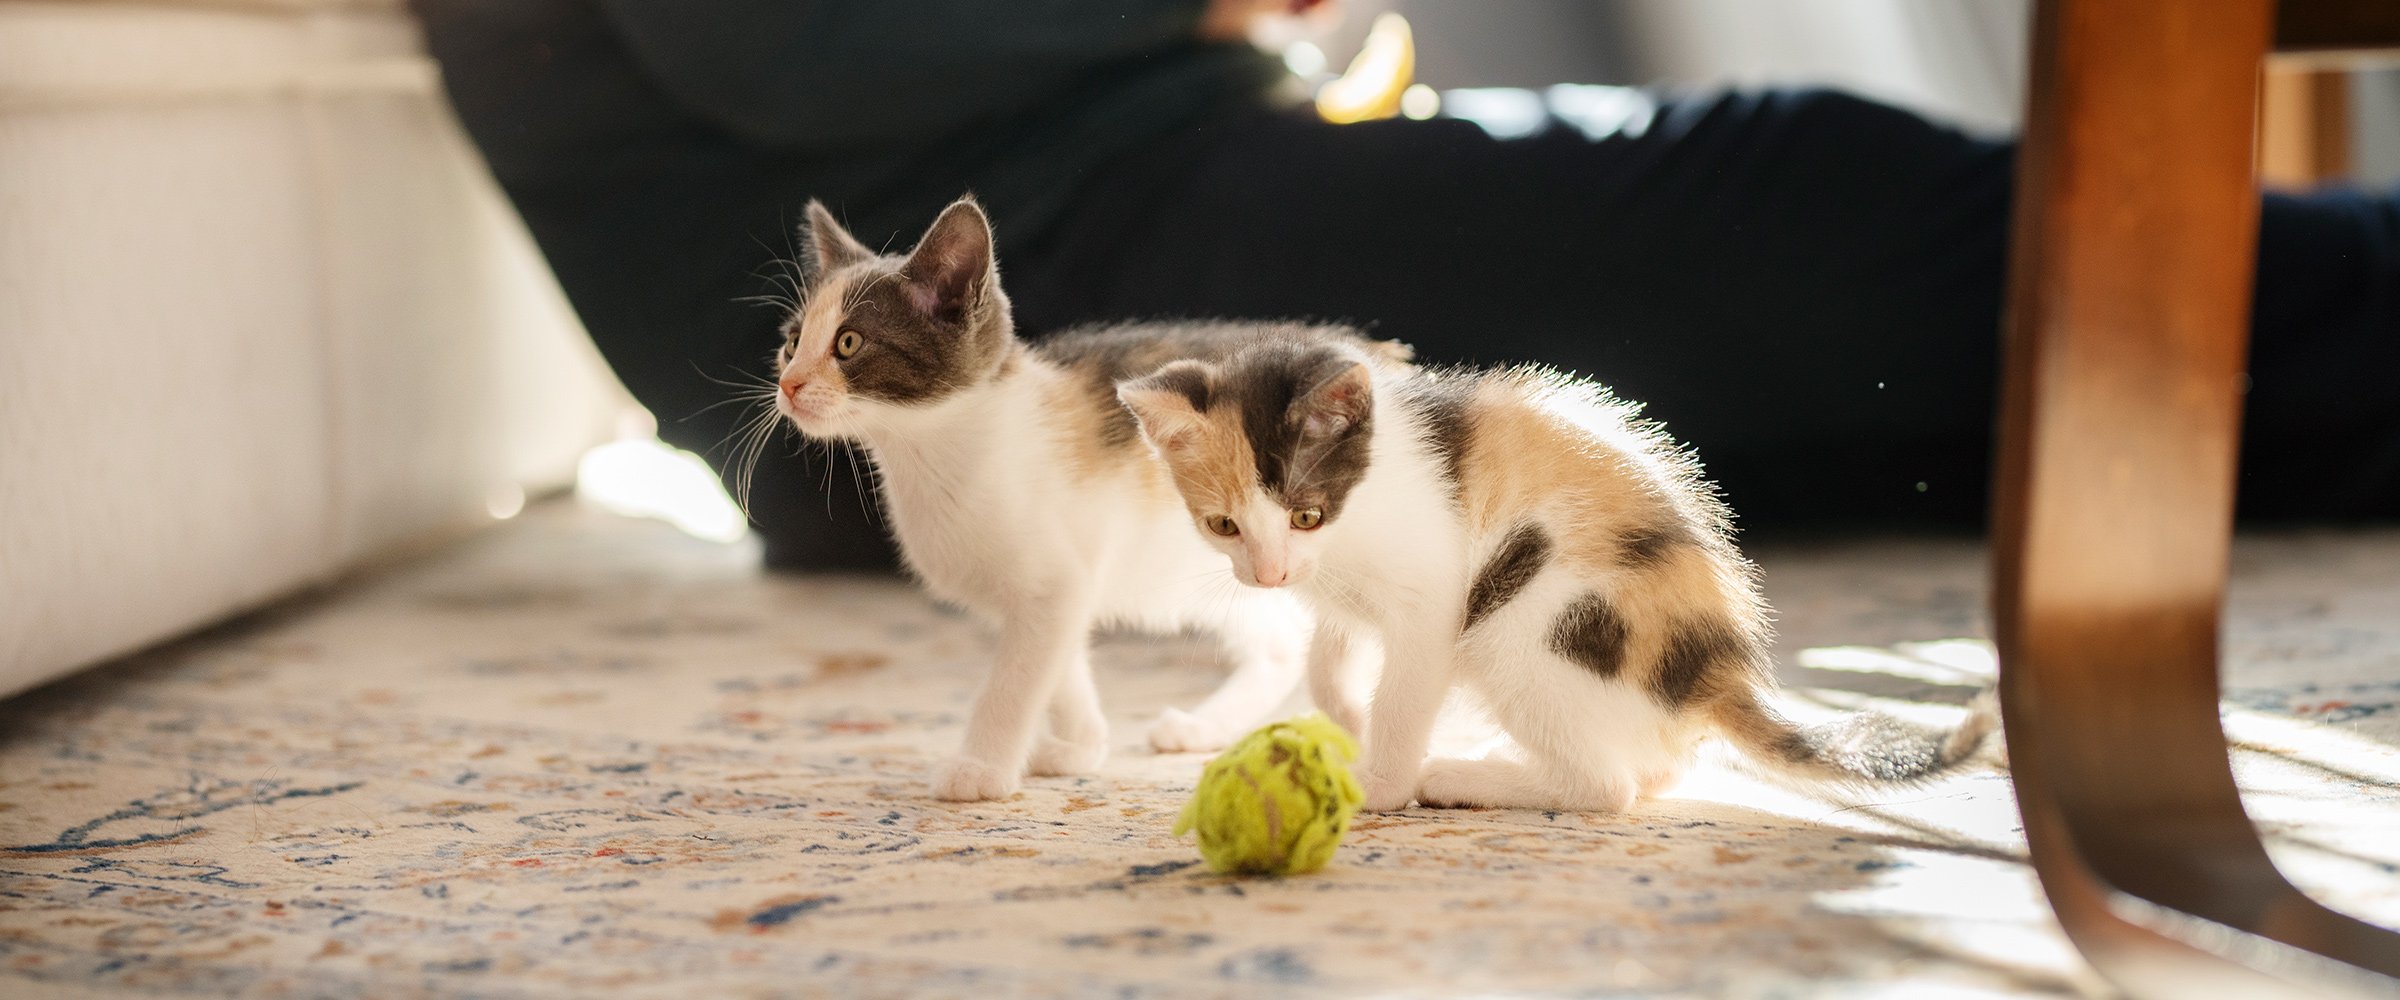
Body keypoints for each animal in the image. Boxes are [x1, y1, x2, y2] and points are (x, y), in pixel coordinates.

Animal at [768, 199, 1401, 800]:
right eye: (792, 342)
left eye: (849, 342)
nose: (788, 384)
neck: (937, 452)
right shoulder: (1060, 589)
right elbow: (1059, 666)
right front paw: (1080, 746)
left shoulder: (1052, 583)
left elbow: (1014, 680)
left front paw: (981, 768)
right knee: (1280, 644)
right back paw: (1205, 727)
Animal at [1113, 340, 1996, 810]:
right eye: (1222, 525)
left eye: (1304, 514)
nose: (1266, 576)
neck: (1355, 515)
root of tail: (1717, 676)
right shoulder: (1340, 598)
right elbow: (1328, 663)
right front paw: (1350, 716)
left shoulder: (1431, 595)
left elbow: (1406, 689)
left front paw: (1384, 778)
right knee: (1654, 770)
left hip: (1521, 628)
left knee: (1606, 789)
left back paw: (1460, 776)